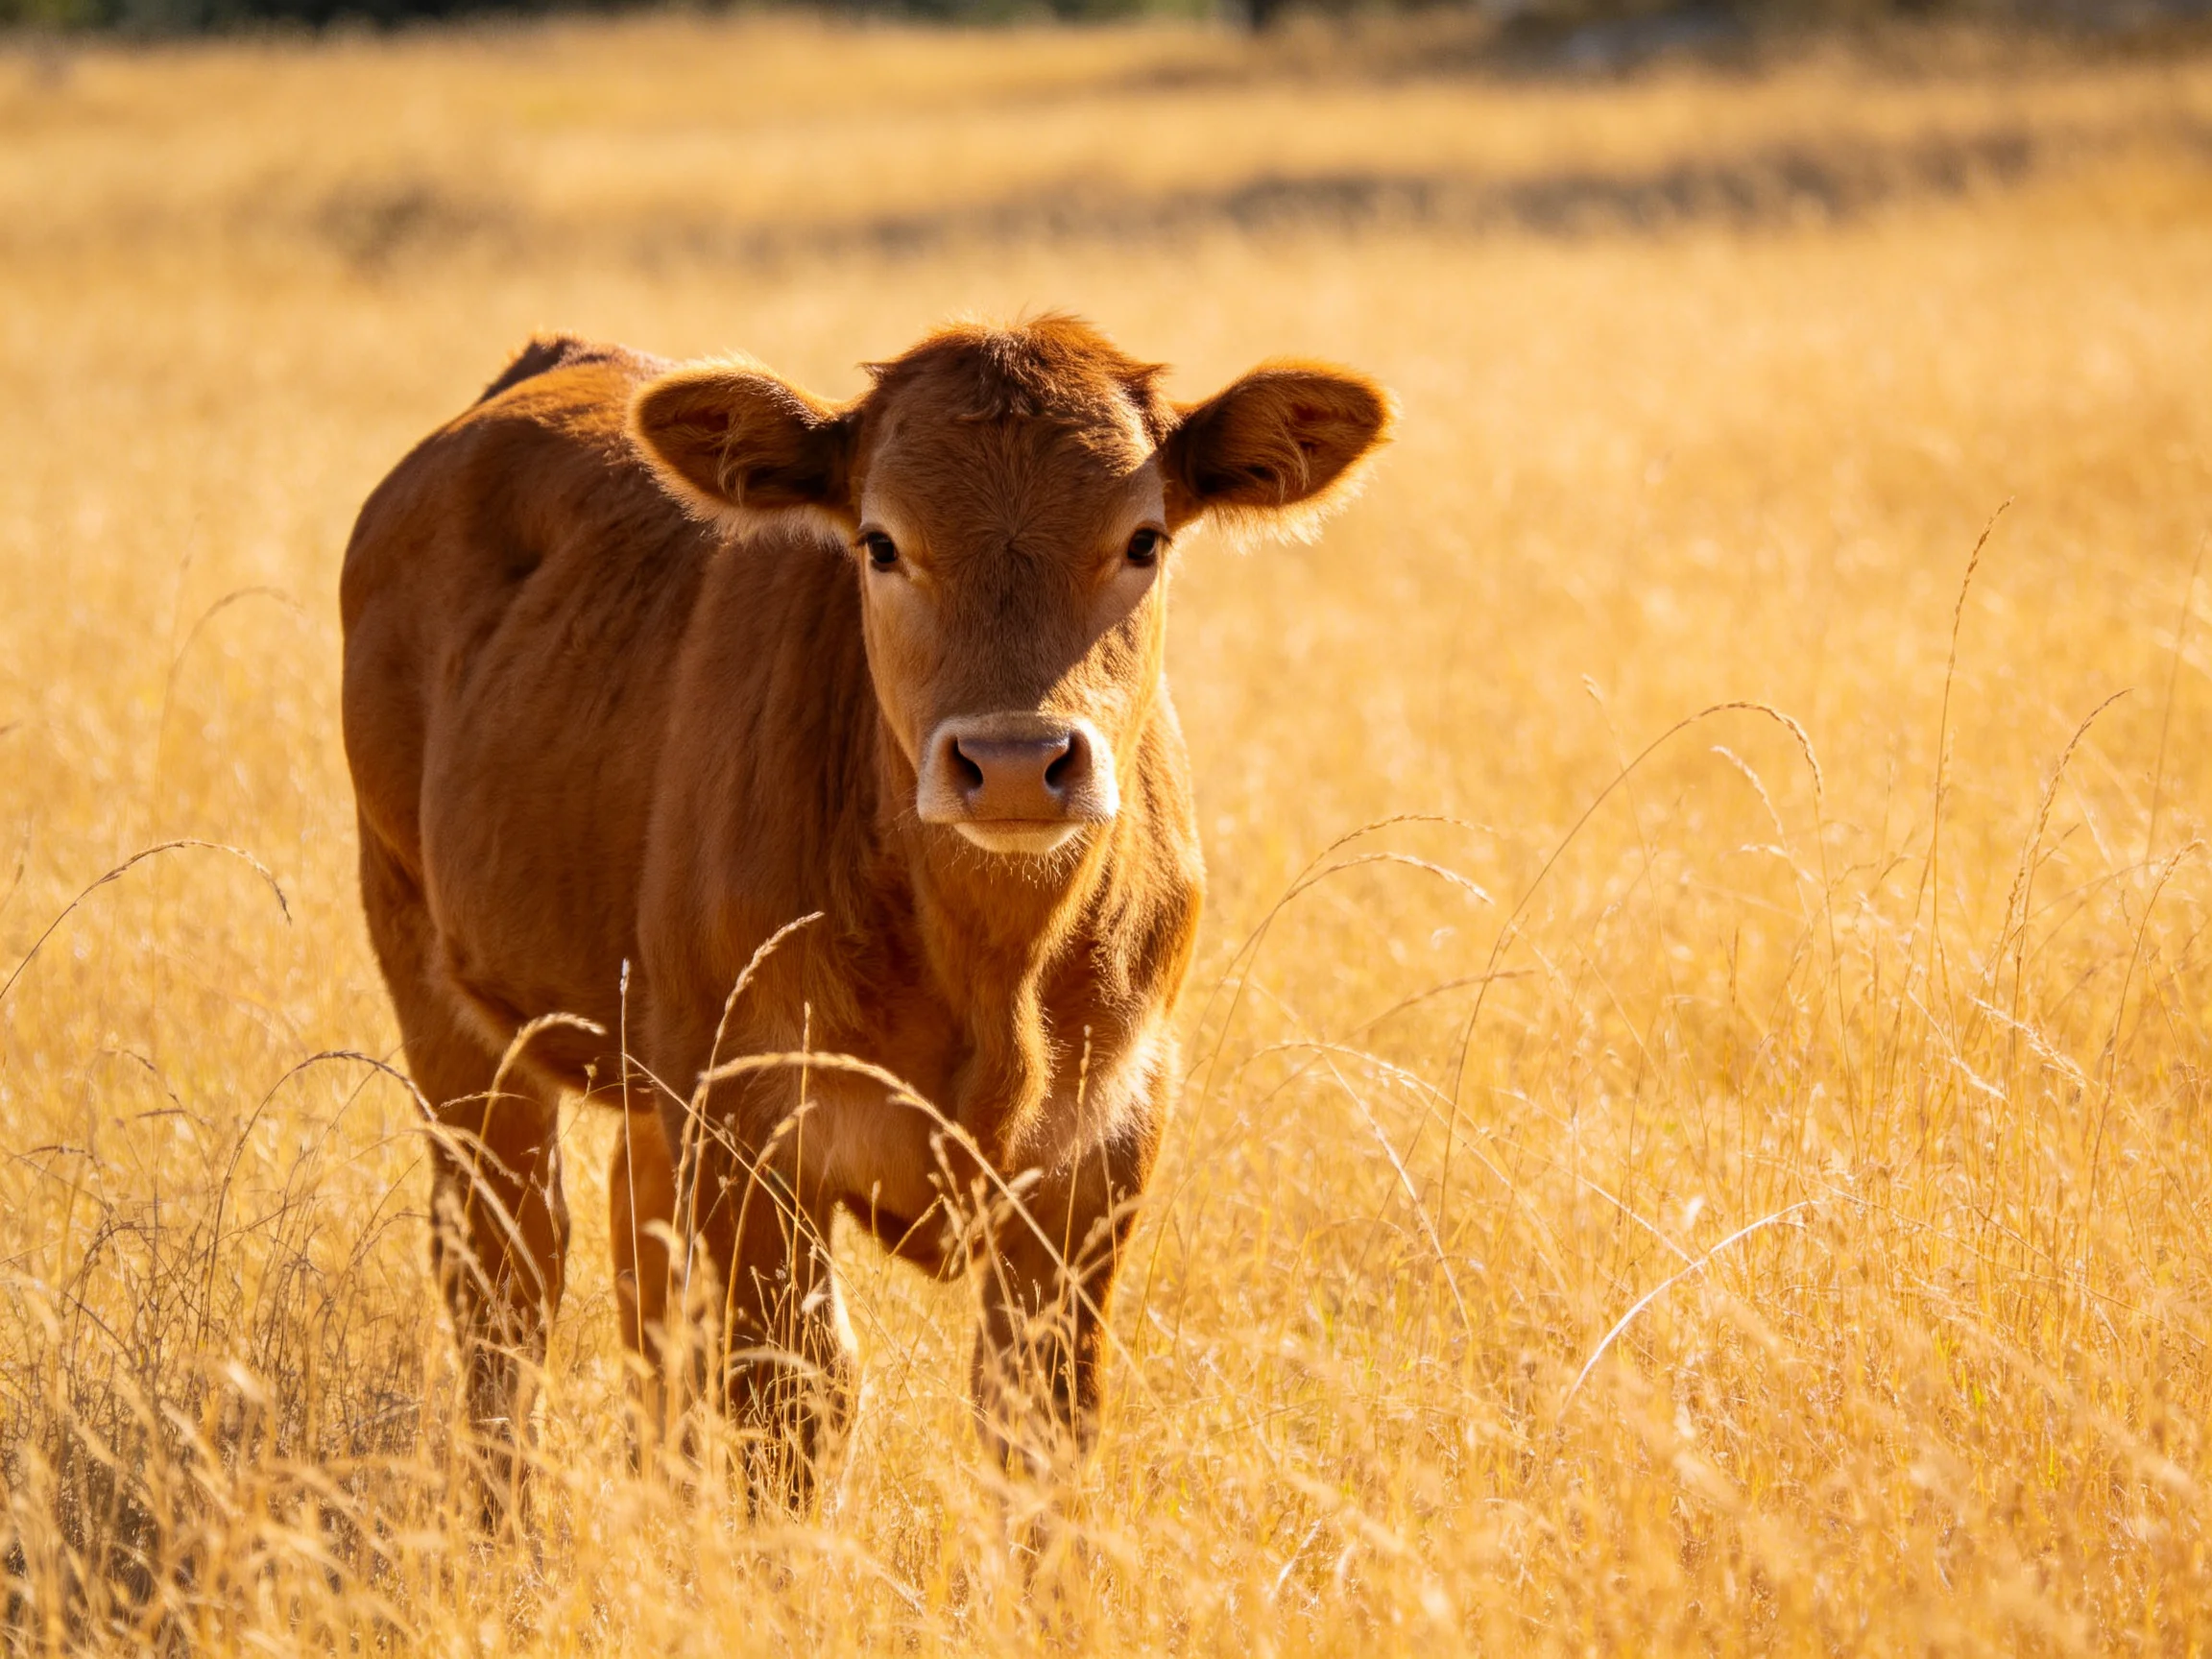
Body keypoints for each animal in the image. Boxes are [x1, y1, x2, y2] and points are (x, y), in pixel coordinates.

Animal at [339, 315, 1391, 1517]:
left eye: (1145, 540)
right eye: (881, 545)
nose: (1017, 763)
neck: (994, 974)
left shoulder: (1108, 1132)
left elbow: (1043, 1412)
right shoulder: (755, 1127)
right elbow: (794, 1397)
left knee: (635, 1258)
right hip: (439, 987)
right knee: (507, 1271)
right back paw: (504, 1527)